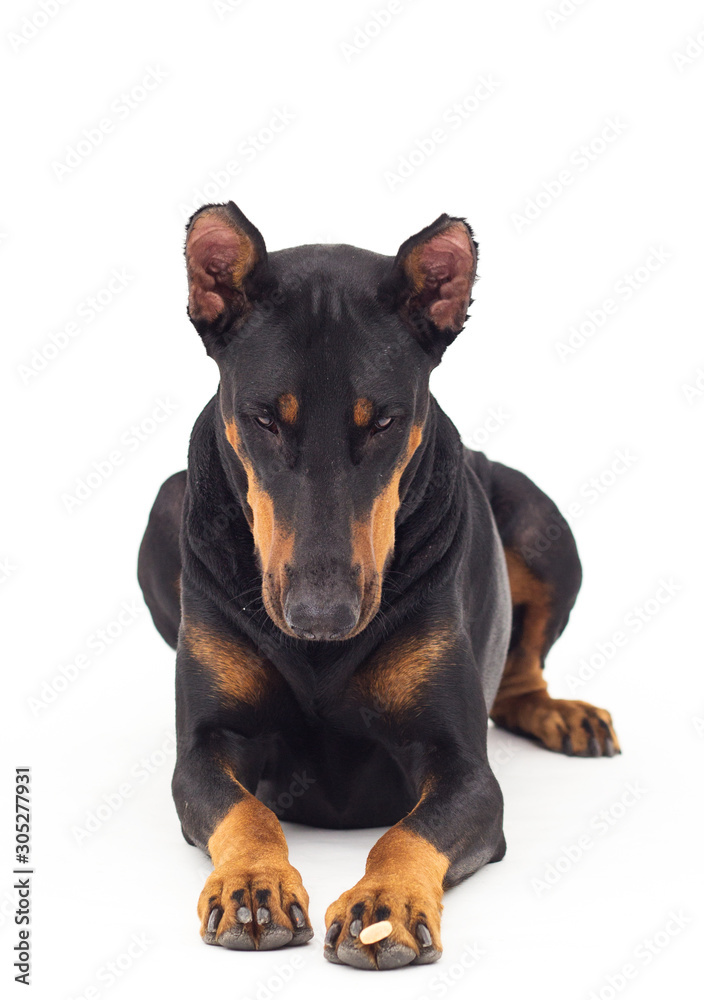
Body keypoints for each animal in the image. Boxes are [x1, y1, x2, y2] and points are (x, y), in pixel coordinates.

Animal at [139, 203, 620, 968]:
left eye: (386, 421)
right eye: (265, 418)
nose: (321, 617)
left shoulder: (466, 769)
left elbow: (406, 830)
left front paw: (384, 904)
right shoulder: (206, 745)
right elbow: (245, 808)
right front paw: (254, 884)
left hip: (542, 523)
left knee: (520, 673)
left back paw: (560, 713)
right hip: (163, 509)